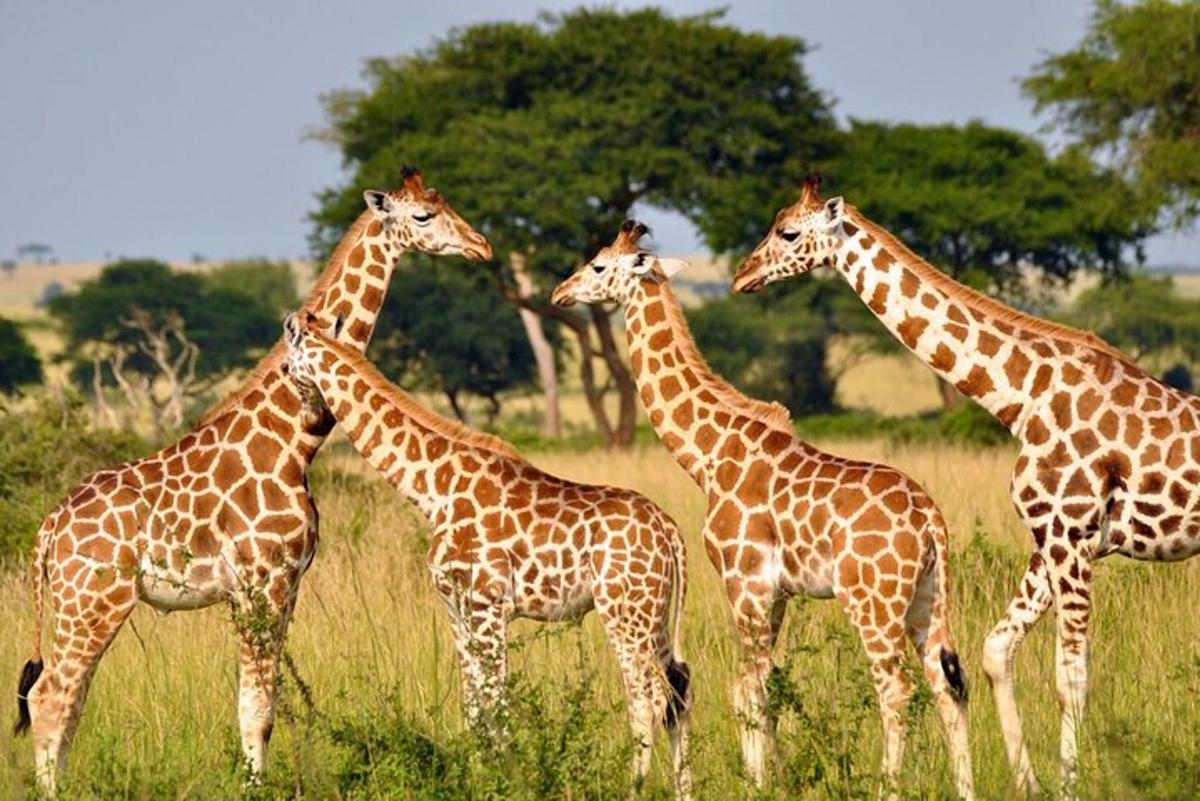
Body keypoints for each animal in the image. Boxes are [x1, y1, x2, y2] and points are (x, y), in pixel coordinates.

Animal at [9, 169, 487, 796]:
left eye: (445, 201)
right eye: (424, 216)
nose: (482, 246)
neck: (294, 439)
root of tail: (46, 531)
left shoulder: (283, 585)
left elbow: (261, 702)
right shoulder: (263, 581)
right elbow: (257, 709)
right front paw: (254, 788)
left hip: (82, 604)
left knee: (70, 696)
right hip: (93, 600)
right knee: (51, 695)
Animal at [280, 311, 696, 796]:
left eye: (287, 369)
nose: (310, 420)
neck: (432, 489)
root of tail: (669, 529)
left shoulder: (487, 604)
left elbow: (496, 702)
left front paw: (503, 780)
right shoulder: (457, 608)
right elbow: (474, 703)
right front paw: (481, 776)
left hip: (624, 612)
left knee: (648, 695)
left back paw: (635, 787)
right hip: (655, 612)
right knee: (678, 688)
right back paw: (685, 790)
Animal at [552, 220, 974, 801]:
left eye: (597, 264)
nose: (559, 293)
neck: (707, 455)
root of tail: (931, 521)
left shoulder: (744, 581)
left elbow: (745, 686)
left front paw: (756, 782)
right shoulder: (776, 593)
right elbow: (766, 683)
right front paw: (773, 775)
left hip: (873, 601)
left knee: (897, 689)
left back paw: (888, 787)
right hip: (927, 599)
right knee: (945, 684)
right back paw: (967, 788)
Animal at [724, 173, 1200, 796]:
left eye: (787, 231)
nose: (741, 275)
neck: (1022, 398)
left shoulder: (1070, 534)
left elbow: (1071, 674)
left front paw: (1069, 785)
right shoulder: (1058, 538)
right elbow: (997, 650)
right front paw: (1029, 784)